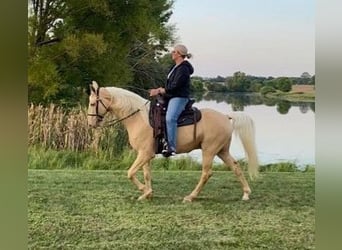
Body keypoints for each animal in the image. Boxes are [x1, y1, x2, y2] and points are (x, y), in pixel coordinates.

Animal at [87, 81, 258, 202]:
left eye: (92, 103)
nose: (90, 124)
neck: (139, 118)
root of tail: (225, 116)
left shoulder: (144, 154)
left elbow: (130, 173)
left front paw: (145, 191)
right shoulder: (145, 154)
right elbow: (146, 174)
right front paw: (148, 194)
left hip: (209, 150)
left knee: (206, 173)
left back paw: (190, 197)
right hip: (222, 151)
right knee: (235, 167)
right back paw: (246, 194)